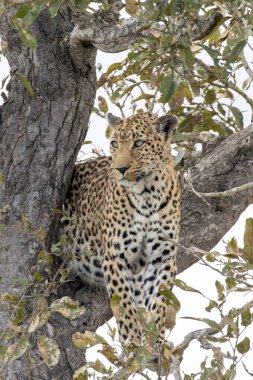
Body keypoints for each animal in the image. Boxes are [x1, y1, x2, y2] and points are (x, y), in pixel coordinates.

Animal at [64, 111, 181, 358]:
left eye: (139, 144)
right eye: (115, 144)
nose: (119, 169)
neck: (148, 195)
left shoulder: (162, 258)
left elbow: (158, 303)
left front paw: (154, 343)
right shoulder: (116, 257)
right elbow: (125, 306)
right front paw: (133, 345)